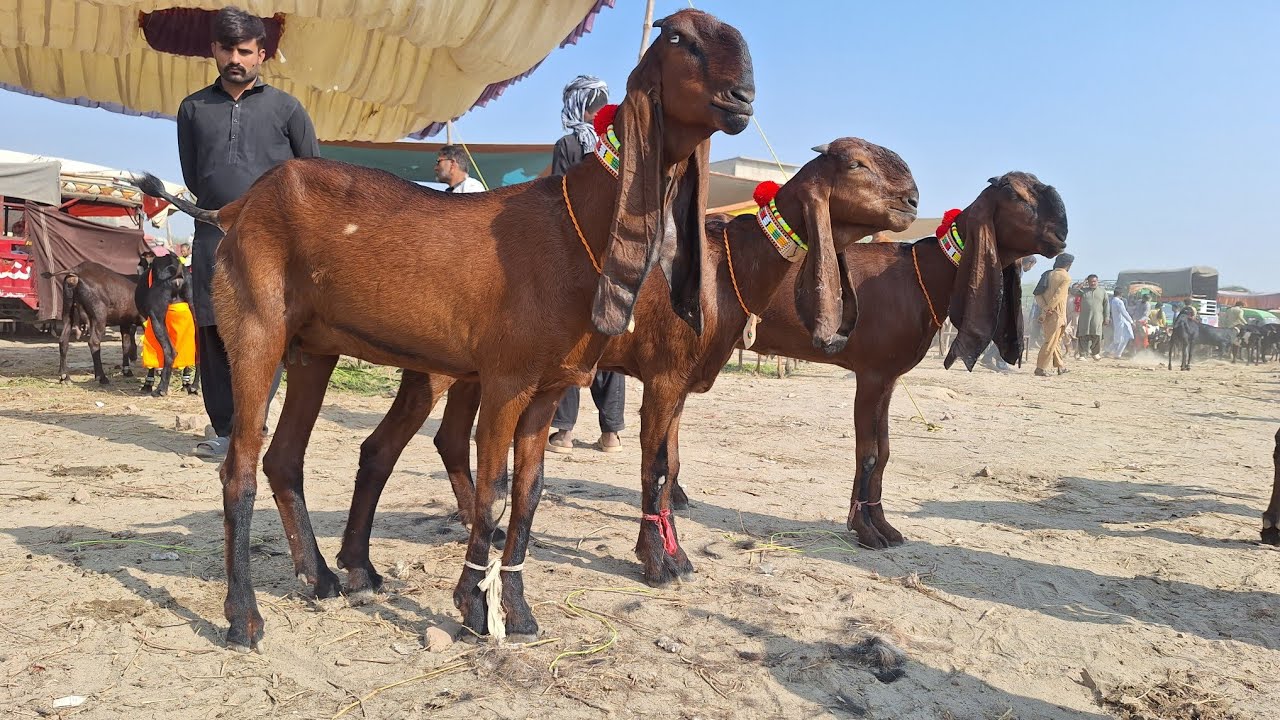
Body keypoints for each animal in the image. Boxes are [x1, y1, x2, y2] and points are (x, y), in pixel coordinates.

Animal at [138, 9, 754, 651]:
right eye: (679, 38)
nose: (743, 99)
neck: (572, 226)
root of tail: (238, 207)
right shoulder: (507, 381)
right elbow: (492, 493)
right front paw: (475, 607)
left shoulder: (549, 387)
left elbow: (528, 494)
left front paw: (518, 612)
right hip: (257, 330)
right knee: (239, 467)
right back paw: (244, 617)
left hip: (312, 348)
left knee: (284, 458)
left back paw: (326, 577)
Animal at [315, 138, 918, 588]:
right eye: (857, 163)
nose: (912, 200)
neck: (727, 269)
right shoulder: (665, 376)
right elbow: (656, 469)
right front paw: (659, 561)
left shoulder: (678, 384)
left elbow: (671, 464)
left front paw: (674, 551)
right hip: (439, 368)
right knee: (384, 447)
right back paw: (361, 566)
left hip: (469, 371)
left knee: (440, 440)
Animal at [738, 172, 1067, 549]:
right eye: (1016, 194)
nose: (1060, 235)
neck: (918, 277)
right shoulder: (870, 373)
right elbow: (867, 453)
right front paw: (865, 531)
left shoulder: (888, 378)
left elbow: (883, 452)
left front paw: (883, 526)